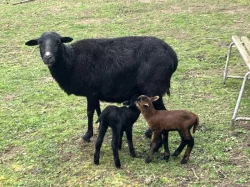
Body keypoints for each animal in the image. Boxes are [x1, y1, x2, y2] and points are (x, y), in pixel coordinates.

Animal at [24, 31, 178, 141]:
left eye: (58, 42)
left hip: (153, 87)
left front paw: (87, 135)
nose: (48, 57)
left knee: (160, 110)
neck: (72, 61)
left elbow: (89, 112)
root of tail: (173, 56)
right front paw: (99, 127)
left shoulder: (90, 92)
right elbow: (98, 109)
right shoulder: (95, 92)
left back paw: (150, 133)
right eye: (39, 43)